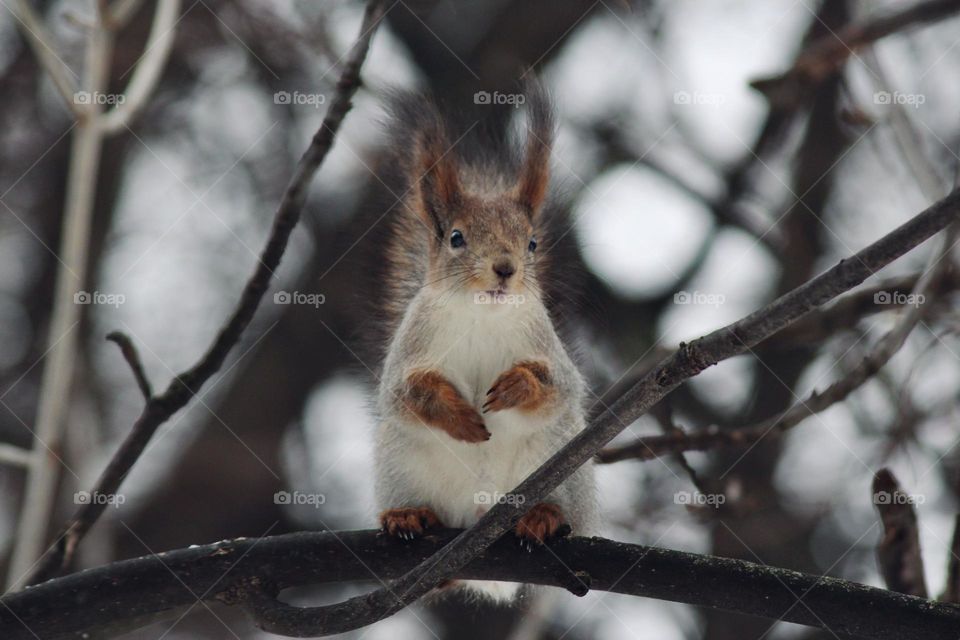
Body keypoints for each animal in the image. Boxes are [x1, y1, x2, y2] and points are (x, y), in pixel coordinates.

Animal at [370, 83, 599, 603]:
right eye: (456, 238)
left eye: (532, 243)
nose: (505, 268)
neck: (481, 314)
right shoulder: (411, 347)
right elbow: (403, 393)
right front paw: (456, 414)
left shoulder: (545, 343)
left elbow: (561, 387)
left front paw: (517, 387)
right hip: (399, 461)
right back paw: (408, 515)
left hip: (561, 457)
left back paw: (543, 515)